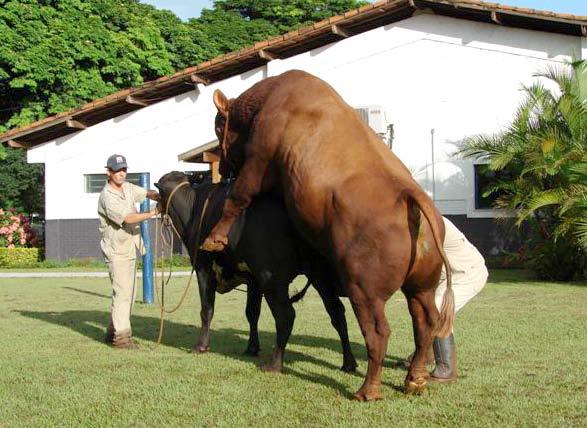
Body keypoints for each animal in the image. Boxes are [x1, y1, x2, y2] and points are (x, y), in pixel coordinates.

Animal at [155, 172, 358, 372]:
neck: (194, 206)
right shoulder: (253, 280)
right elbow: (252, 313)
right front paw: (252, 348)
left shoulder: (203, 269)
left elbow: (207, 309)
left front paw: (201, 346)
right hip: (319, 273)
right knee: (336, 312)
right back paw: (348, 362)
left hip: (273, 279)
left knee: (286, 315)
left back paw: (274, 364)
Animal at [201, 70, 454, 402]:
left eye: (219, 125)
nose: (224, 166)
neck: (272, 96)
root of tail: (411, 195)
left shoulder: (260, 157)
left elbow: (238, 197)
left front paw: (214, 238)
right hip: (421, 286)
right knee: (425, 323)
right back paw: (414, 379)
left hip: (364, 289)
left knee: (379, 331)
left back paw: (368, 390)